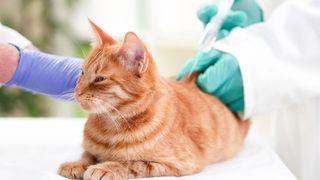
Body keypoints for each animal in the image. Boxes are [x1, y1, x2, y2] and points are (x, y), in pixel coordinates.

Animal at [58, 19, 250, 180]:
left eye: (100, 79)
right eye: (82, 72)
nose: (77, 92)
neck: (110, 127)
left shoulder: (180, 163)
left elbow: (132, 163)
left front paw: (106, 167)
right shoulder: (90, 149)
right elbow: (88, 154)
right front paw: (77, 164)